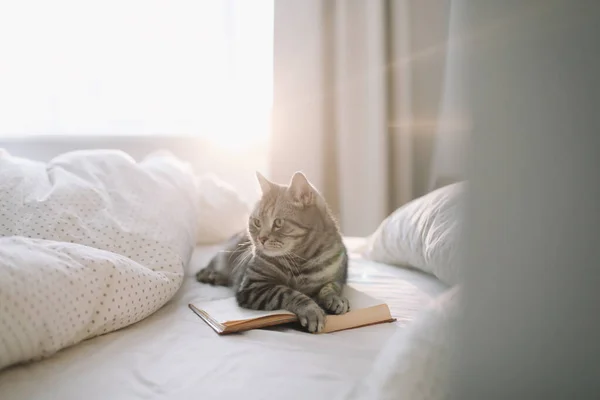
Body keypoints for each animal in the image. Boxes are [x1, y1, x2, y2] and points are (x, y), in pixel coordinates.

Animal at [195, 170, 350, 332]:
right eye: (257, 222)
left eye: (278, 222)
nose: (261, 238)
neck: (301, 259)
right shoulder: (253, 285)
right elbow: (288, 292)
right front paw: (311, 310)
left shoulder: (337, 277)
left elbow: (330, 287)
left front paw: (335, 299)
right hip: (223, 255)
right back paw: (211, 275)